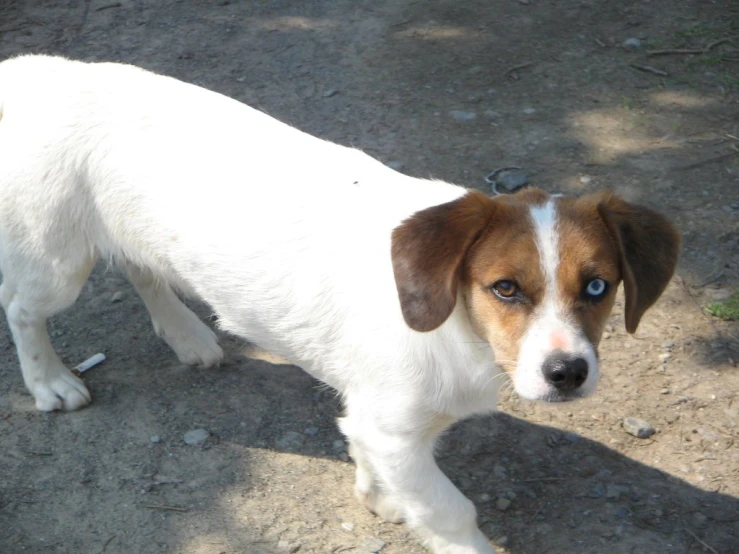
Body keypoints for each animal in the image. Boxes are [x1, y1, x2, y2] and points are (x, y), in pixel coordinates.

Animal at [0, 55, 680, 552]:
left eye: (598, 287)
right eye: (505, 288)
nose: (567, 373)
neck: (460, 331)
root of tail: (33, 68)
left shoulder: (380, 422)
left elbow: (370, 456)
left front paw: (381, 497)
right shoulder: (395, 431)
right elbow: (451, 512)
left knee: (140, 267)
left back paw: (187, 336)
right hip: (57, 261)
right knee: (23, 308)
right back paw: (51, 383)